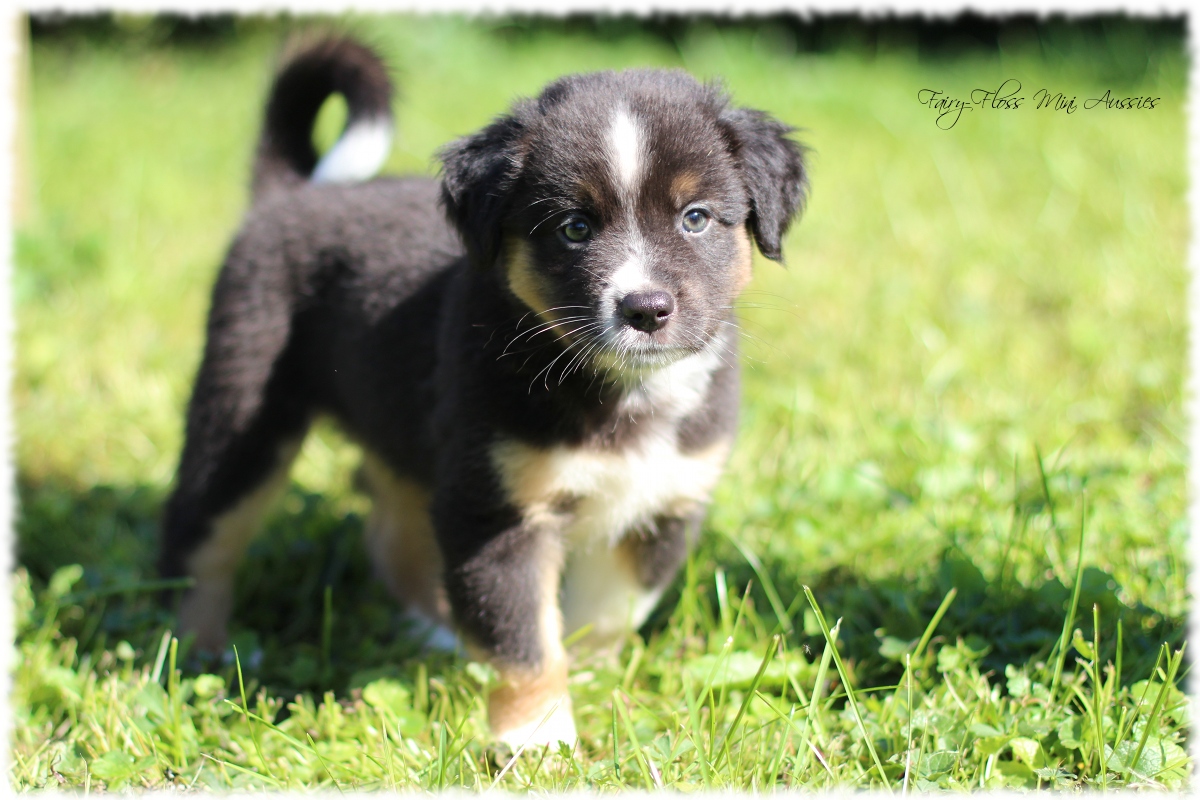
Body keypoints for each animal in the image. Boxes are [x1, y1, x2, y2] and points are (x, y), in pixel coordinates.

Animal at [162, 37, 806, 748]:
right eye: (574, 228)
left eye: (695, 218)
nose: (645, 309)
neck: (623, 394)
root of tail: (293, 192)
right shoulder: (495, 512)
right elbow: (523, 640)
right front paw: (537, 739)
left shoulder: (664, 500)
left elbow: (608, 614)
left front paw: (590, 683)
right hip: (243, 411)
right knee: (200, 537)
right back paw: (198, 654)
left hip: (407, 434)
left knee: (391, 532)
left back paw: (435, 632)